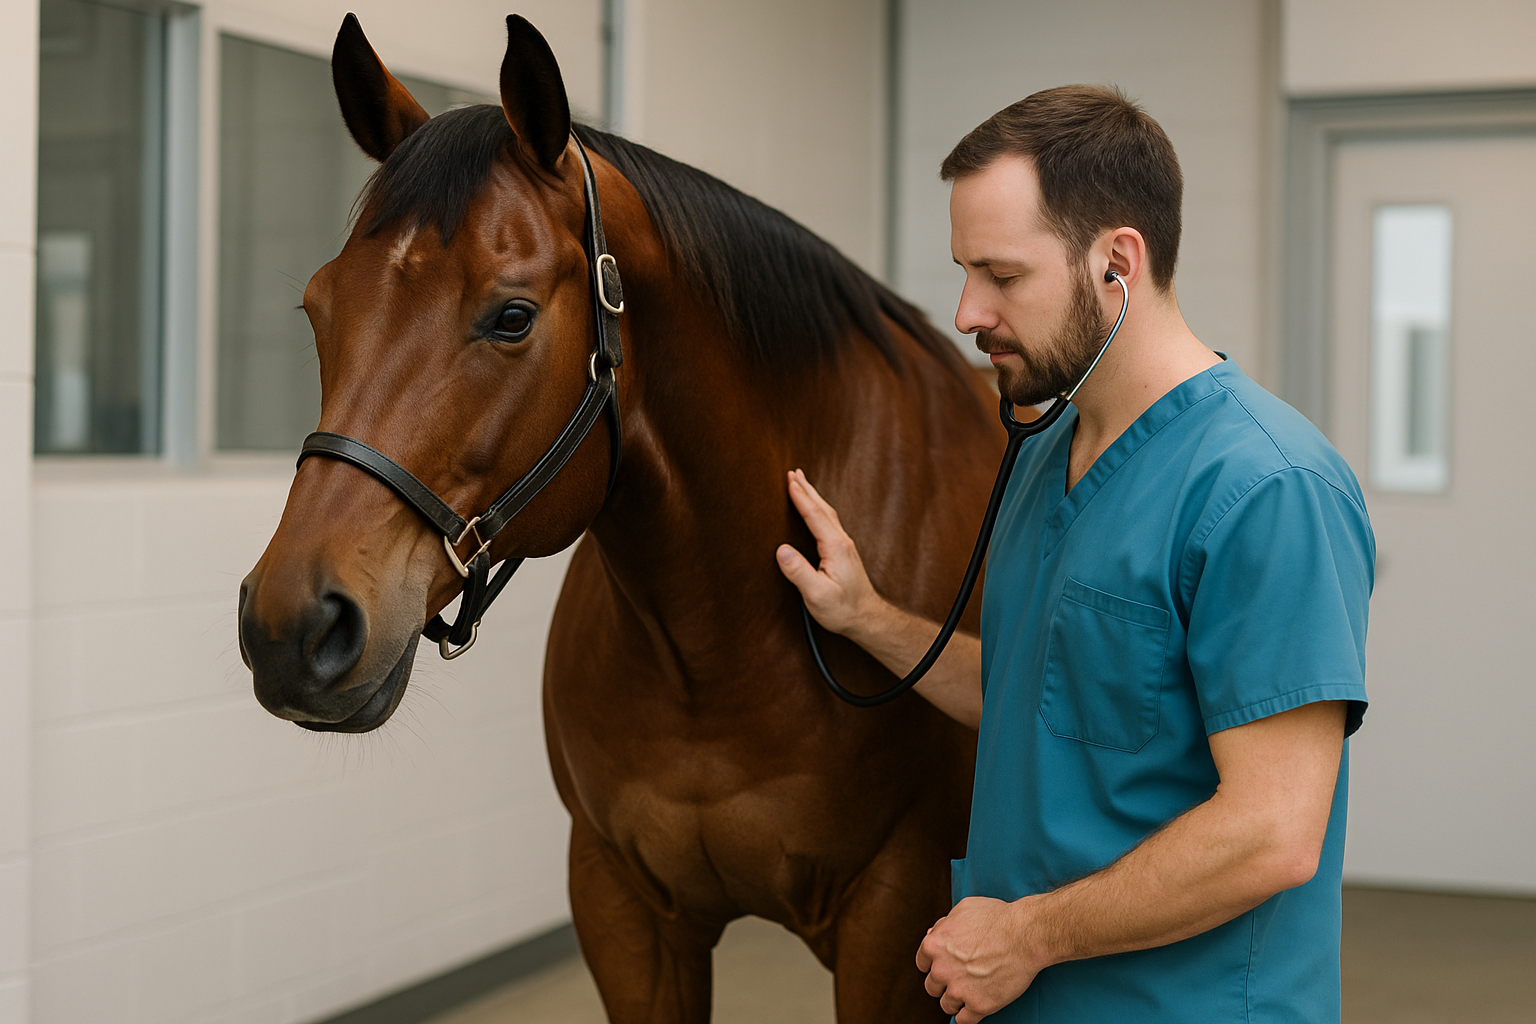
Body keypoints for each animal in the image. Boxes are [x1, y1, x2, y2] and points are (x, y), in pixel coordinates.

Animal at [239, 14, 1005, 1023]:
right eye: (317, 310)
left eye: (513, 316)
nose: (290, 626)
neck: (725, 647)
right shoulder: (626, 910)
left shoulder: (896, 922)